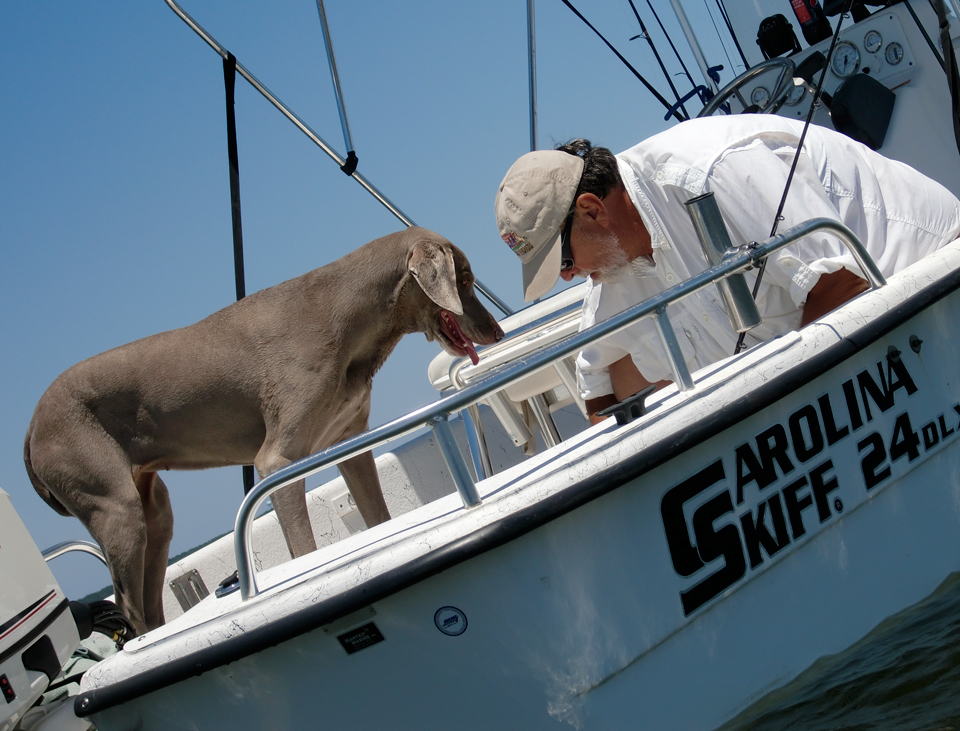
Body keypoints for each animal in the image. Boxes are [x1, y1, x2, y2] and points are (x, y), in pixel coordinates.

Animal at [24, 229, 502, 636]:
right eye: (464, 278)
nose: (496, 331)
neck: (350, 318)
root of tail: (29, 430)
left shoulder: (349, 440)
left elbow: (377, 514)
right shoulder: (277, 461)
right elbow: (304, 548)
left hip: (154, 510)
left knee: (149, 596)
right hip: (114, 503)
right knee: (128, 605)